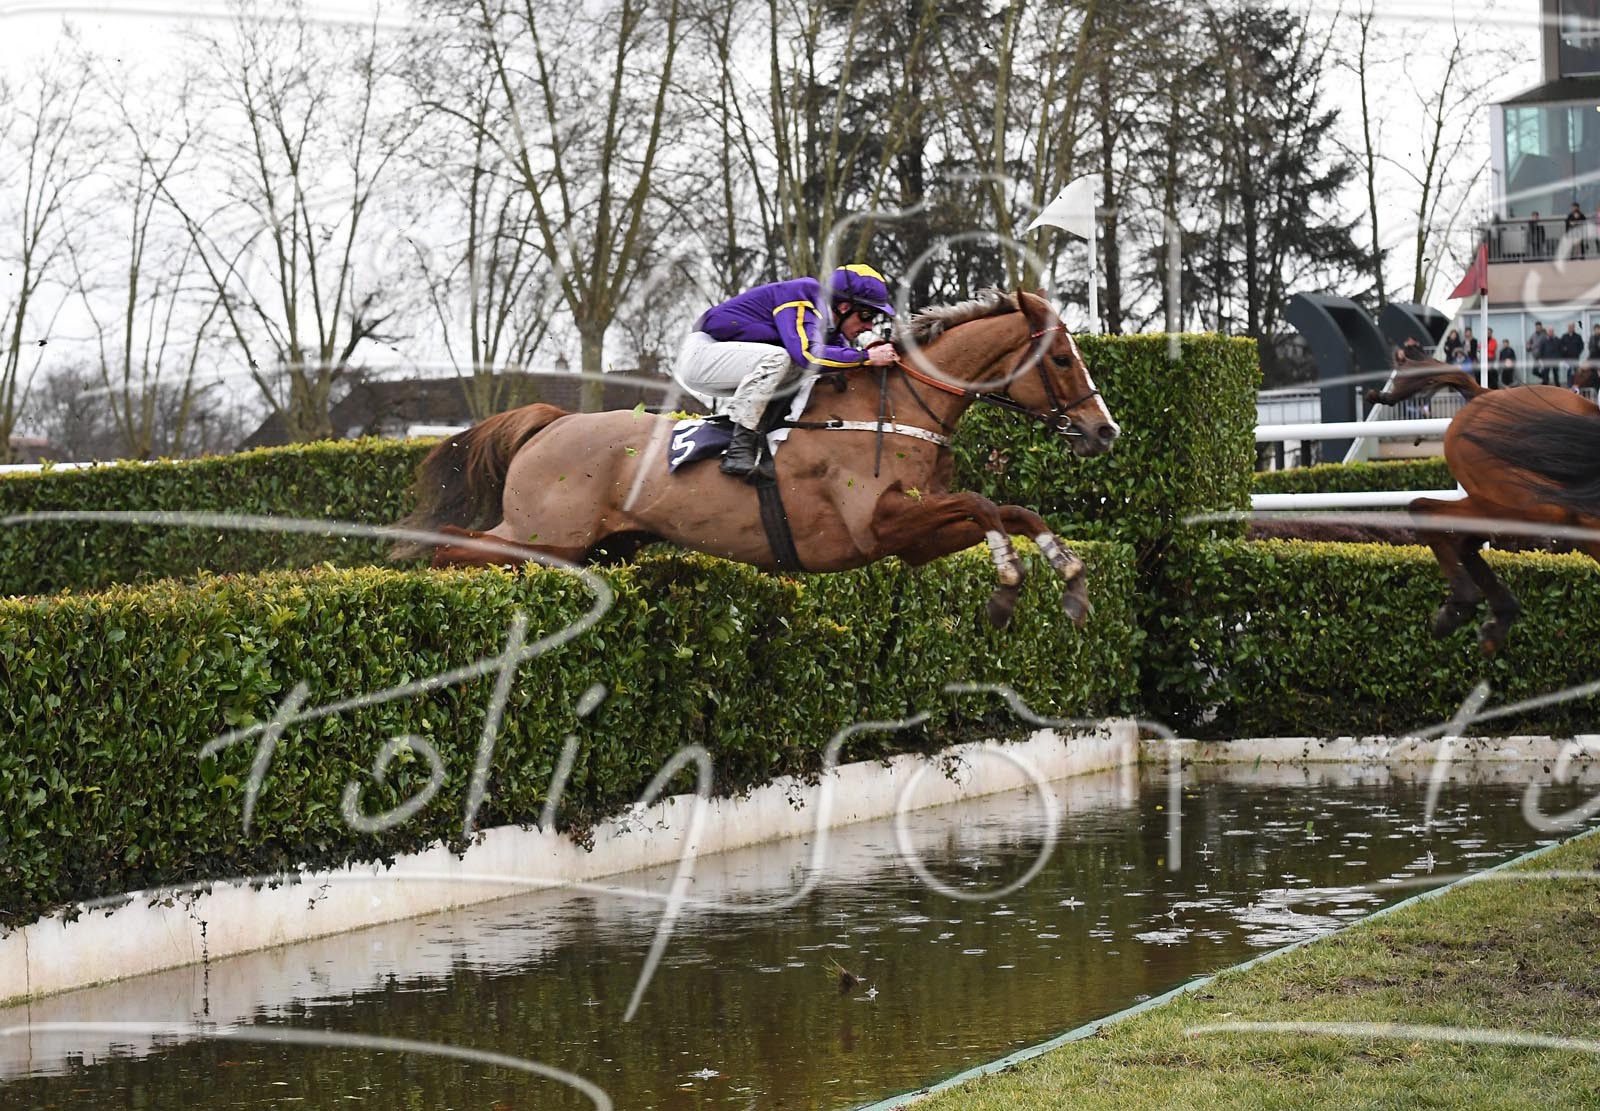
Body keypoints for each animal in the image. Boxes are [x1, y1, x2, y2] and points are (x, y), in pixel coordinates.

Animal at [395, 289, 1121, 628]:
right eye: (1062, 358)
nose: (1104, 429)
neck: (893, 409)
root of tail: (553, 423)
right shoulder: (878, 526)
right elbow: (984, 504)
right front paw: (1007, 585)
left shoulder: (912, 537)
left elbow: (1012, 508)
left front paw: (1071, 579)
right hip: (545, 532)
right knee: (455, 543)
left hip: (603, 544)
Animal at [1364, 353, 1600, 654]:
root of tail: (1485, 395)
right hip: (1527, 505)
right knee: (1426, 511)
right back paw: (1463, 609)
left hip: (1500, 503)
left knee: (1460, 538)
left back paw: (1490, 618)